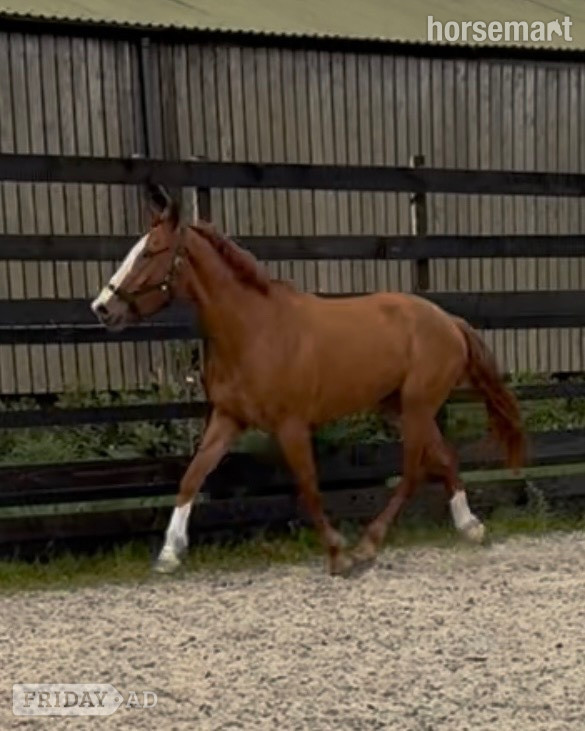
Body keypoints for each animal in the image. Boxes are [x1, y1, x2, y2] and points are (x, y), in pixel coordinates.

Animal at [91, 187, 526, 577]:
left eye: (150, 252)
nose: (102, 308)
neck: (254, 331)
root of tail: (449, 321)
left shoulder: (291, 426)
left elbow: (309, 487)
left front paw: (338, 555)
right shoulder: (228, 418)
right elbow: (192, 476)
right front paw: (169, 554)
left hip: (418, 406)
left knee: (413, 471)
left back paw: (369, 544)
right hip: (400, 406)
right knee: (444, 457)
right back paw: (470, 527)